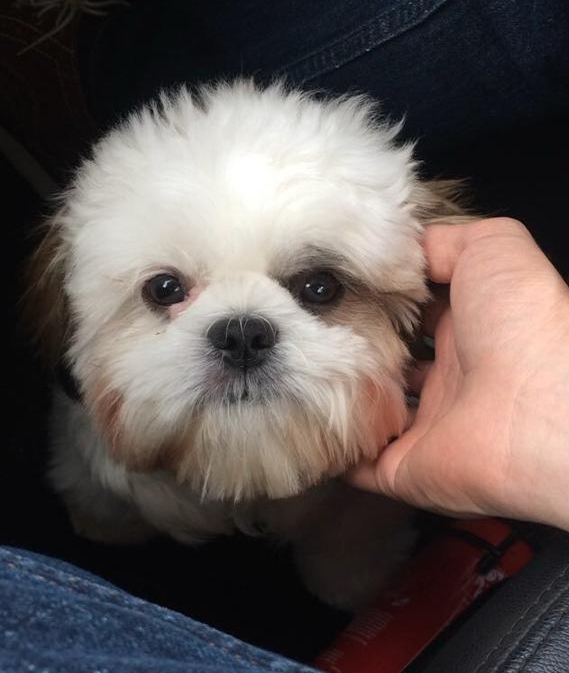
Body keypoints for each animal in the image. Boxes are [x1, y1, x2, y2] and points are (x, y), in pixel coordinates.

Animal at [26, 81, 468, 609]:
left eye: (321, 287)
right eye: (164, 288)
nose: (241, 334)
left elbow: (348, 543)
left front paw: (357, 583)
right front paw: (102, 521)